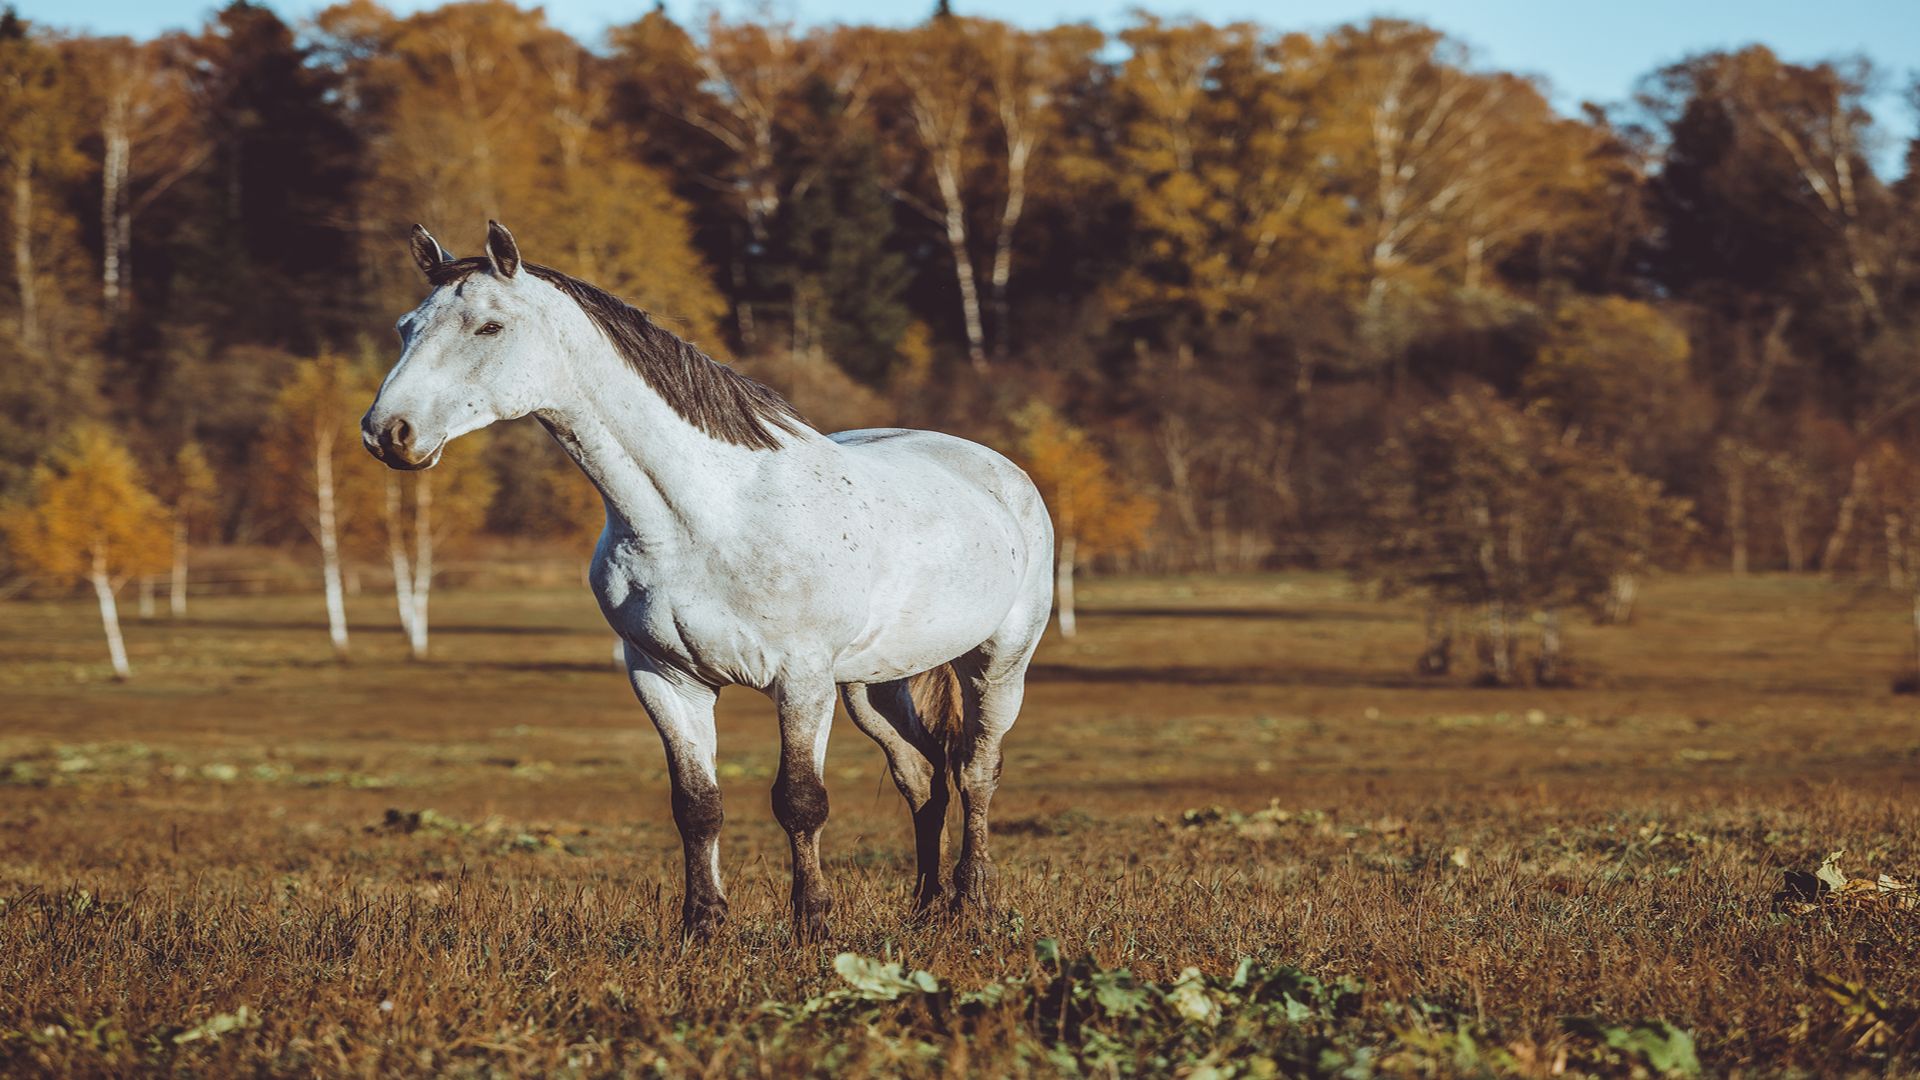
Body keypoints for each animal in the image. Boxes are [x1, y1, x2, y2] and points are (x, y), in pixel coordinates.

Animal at [360, 222, 1052, 937]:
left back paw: (971, 898)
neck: (704, 517)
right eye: (406, 327)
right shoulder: (666, 678)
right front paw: (703, 924)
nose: (388, 433)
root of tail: (998, 471)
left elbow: (800, 800)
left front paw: (812, 923)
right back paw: (925, 906)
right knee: (922, 778)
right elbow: (697, 804)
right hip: (871, 685)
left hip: (996, 665)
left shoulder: (800, 680)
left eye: (490, 326)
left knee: (976, 770)